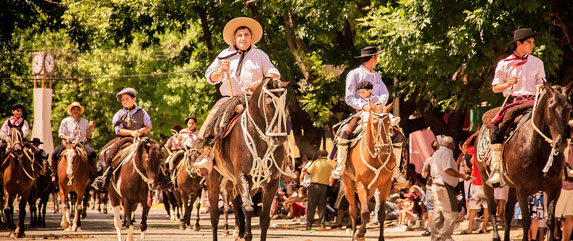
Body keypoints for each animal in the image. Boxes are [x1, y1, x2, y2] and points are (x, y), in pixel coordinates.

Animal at [203, 77, 288, 241]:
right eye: (269, 102)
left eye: (285, 103)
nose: (279, 137)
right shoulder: (243, 176)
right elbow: (248, 207)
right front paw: (247, 235)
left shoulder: (272, 182)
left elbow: (265, 218)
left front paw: (245, 233)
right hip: (214, 179)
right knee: (214, 216)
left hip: (251, 185)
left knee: (236, 202)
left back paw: (239, 231)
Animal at [340, 101, 394, 241]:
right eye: (374, 123)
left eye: (388, 123)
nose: (383, 148)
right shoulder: (361, 184)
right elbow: (364, 213)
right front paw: (359, 233)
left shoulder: (385, 185)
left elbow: (381, 214)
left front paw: (380, 238)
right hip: (348, 184)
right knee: (353, 211)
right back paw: (355, 234)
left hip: (372, 188)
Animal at [474, 82, 572, 241]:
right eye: (550, 108)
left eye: (569, 108)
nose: (561, 142)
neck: (538, 148)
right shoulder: (522, 189)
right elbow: (526, 221)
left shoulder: (554, 188)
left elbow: (550, 221)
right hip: (486, 180)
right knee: (492, 208)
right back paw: (496, 236)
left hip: (512, 187)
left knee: (507, 212)